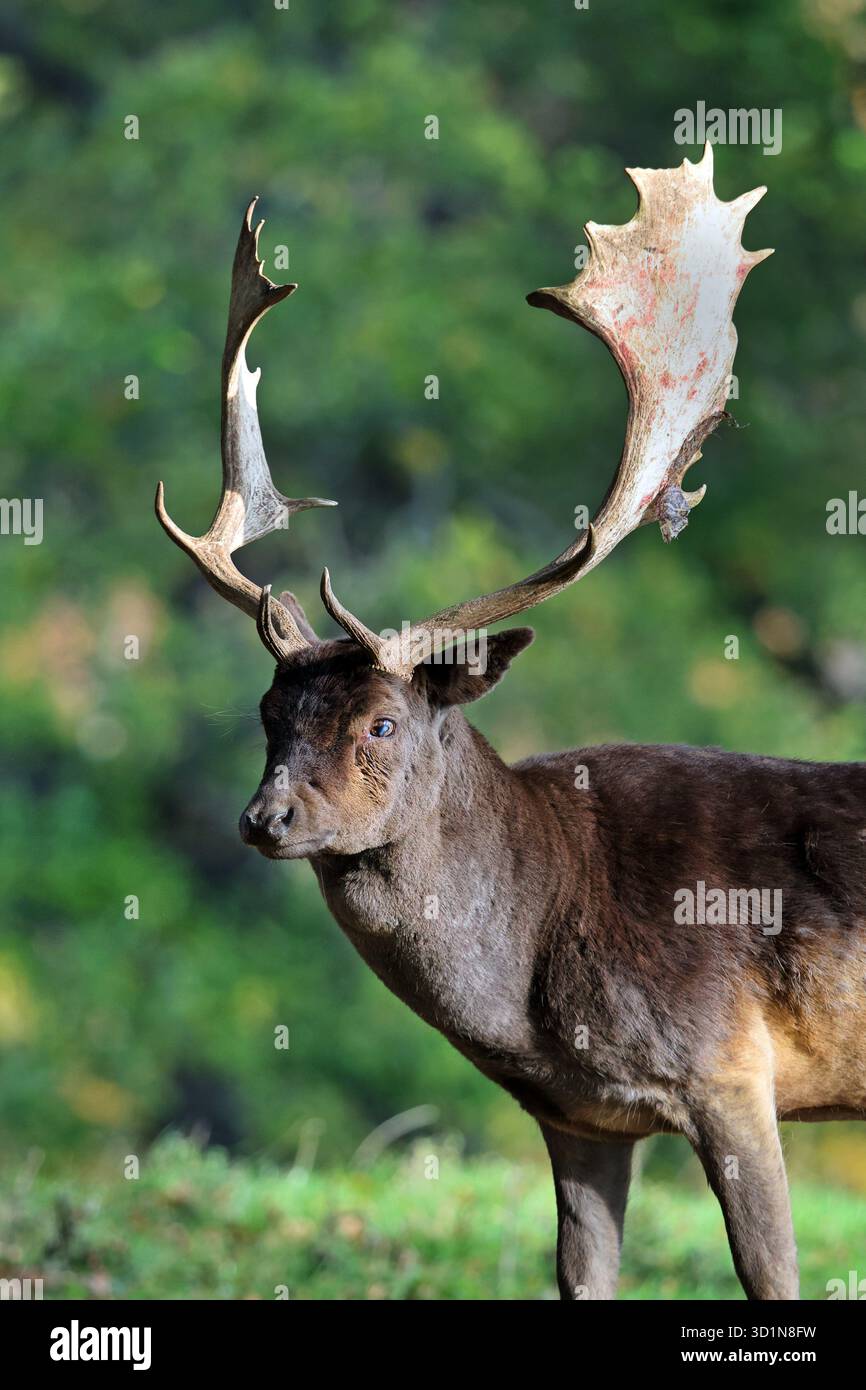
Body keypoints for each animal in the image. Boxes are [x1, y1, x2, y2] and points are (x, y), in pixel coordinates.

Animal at [156, 145, 866, 1301]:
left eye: (383, 723)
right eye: (268, 710)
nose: (266, 818)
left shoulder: (730, 1068)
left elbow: (772, 1272)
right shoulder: (577, 1115)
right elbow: (580, 1276)